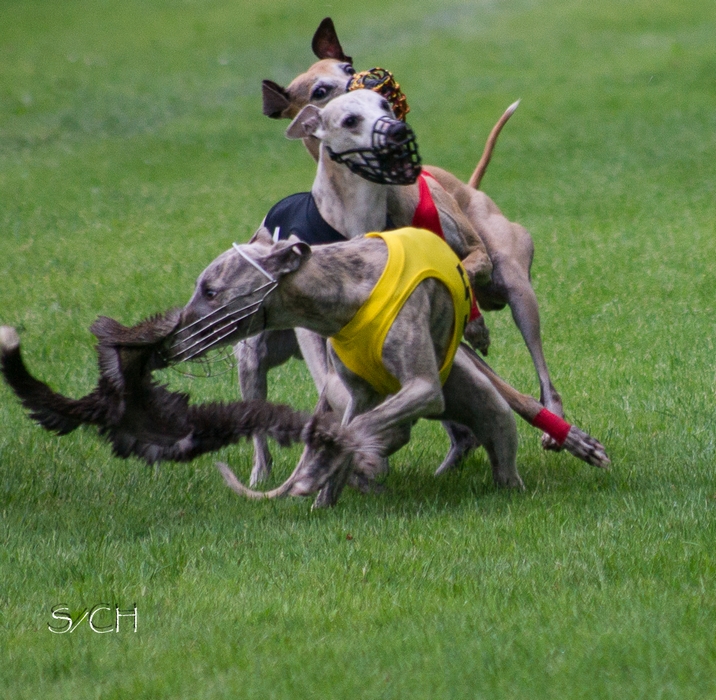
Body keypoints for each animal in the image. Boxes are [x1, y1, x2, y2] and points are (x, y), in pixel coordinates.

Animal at [169, 228, 608, 508]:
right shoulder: (359, 394)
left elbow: (357, 430)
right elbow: (350, 431)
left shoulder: (423, 387)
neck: (345, 292)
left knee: (501, 436)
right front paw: (325, 483)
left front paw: (328, 468)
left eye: (211, 291)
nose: (169, 341)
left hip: (475, 400)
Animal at [261, 17, 565, 447]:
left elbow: (468, 268)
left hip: (515, 279)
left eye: (348, 66)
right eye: (320, 91)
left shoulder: (474, 255)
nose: (371, 82)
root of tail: (469, 186)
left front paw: (477, 326)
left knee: (540, 362)